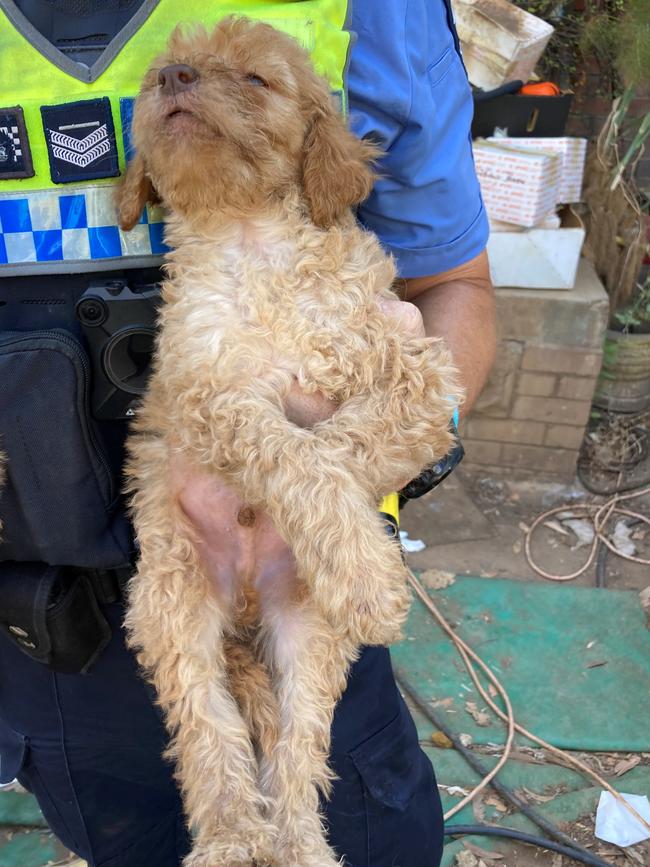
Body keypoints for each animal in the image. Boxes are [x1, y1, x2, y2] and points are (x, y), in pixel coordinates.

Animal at [116, 15, 458, 867]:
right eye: (167, 70)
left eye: (255, 79)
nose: (174, 79)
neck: (251, 238)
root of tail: (241, 609)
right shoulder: (209, 391)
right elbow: (297, 453)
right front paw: (368, 572)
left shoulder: (416, 373)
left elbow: (341, 445)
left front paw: (363, 569)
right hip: (173, 609)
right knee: (209, 739)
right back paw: (236, 837)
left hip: (306, 637)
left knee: (299, 755)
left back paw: (300, 843)